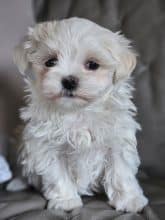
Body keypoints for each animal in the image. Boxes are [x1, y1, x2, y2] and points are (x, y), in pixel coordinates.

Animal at [13, 17, 148, 213]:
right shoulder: (48, 146)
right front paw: (66, 201)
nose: (69, 81)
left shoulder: (117, 141)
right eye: (50, 62)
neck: (77, 112)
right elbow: (57, 174)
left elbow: (121, 171)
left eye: (92, 65)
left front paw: (129, 200)